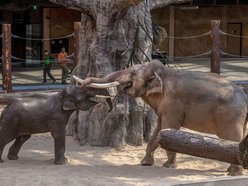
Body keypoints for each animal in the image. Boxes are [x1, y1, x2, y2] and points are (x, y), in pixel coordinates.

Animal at [74, 60, 248, 176]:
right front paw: (145, 163)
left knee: (232, 138)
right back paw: (232, 170)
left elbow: (167, 129)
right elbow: (157, 131)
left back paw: (234, 173)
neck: (164, 72)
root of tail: (245, 96)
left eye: (133, 73)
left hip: (230, 117)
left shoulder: (173, 104)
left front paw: (167, 166)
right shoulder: (164, 109)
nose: (79, 84)